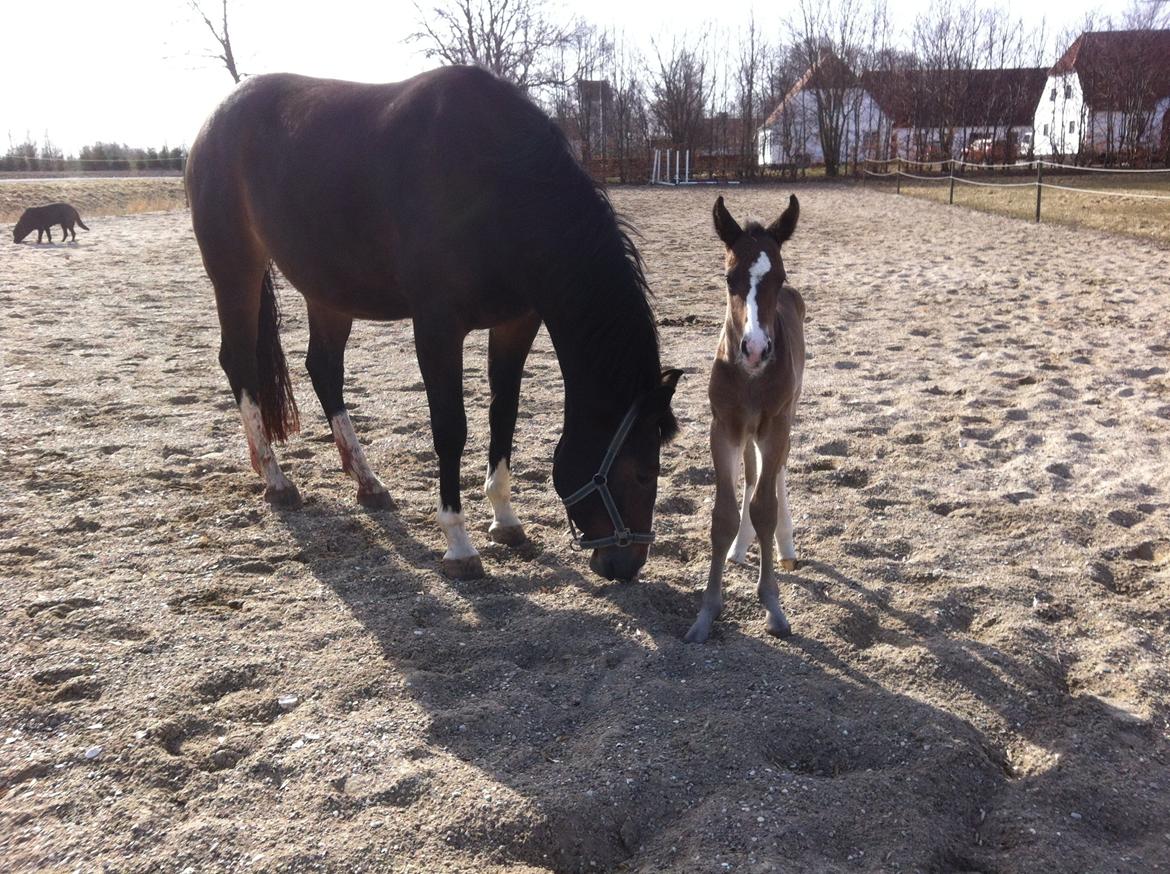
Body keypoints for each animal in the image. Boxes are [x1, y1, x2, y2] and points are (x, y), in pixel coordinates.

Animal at [186, 68, 683, 585]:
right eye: (643, 472)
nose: (626, 565)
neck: (499, 182)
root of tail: (215, 120)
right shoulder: (437, 327)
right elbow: (450, 428)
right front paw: (459, 544)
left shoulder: (517, 322)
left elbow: (504, 414)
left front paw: (505, 520)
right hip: (235, 270)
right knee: (240, 363)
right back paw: (276, 479)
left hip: (329, 291)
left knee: (324, 370)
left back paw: (367, 482)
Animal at [683, 200, 804, 650]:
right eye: (728, 278)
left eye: (780, 276)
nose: (754, 349)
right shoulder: (725, 428)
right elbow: (723, 516)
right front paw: (706, 613)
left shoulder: (774, 426)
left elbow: (765, 509)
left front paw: (772, 606)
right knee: (753, 475)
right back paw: (739, 548)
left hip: (786, 417)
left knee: (778, 471)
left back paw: (786, 546)